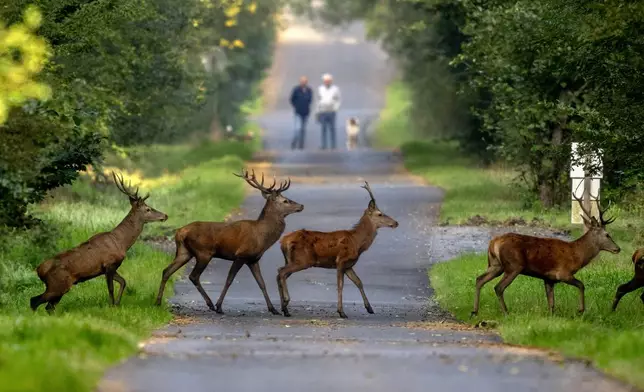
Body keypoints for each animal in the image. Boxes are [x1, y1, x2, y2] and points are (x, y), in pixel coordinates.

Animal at [30, 172, 167, 312]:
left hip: (59, 288)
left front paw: (117, 304)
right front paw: (111, 306)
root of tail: (39, 270)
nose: (165, 215)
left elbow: (123, 281)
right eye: (148, 209)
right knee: (34, 301)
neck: (122, 243)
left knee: (48, 306)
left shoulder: (111, 267)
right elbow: (111, 288)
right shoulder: (109, 264)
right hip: (57, 285)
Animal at [155, 169, 304, 316]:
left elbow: (261, 283)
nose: (301, 205)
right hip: (203, 252)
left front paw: (273, 309)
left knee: (166, 271)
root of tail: (180, 232)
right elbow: (229, 280)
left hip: (184, 252)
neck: (262, 236)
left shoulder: (253, 259)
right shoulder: (241, 255)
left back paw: (157, 302)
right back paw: (210, 304)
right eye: (285, 200)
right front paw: (219, 306)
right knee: (193, 276)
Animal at [276, 182, 398, 320]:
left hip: (291, 260)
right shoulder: (341, 261)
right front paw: (341, 312)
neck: (357, 242)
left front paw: (369, 308)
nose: (396, 223)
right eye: (380, 214)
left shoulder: (349, 265)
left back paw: (284, 308)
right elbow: (340, 285)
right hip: (303, 260)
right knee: (281, 273)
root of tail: (283, 241)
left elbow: (359, 282)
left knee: (280, 273)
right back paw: (285, 302)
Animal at [470, 191, 620, 316]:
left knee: (479, 279)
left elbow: (551, 303)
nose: (617, 249)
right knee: (498, 287)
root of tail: (494, 242)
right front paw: (581, 310)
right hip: (514, 265)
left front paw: (551, 316)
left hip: (496, 265)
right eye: (607, 235)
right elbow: (581, 285)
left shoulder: (549, 278)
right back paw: (506, 312)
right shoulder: (563, 273)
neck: (577, 255)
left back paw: (475, 311)